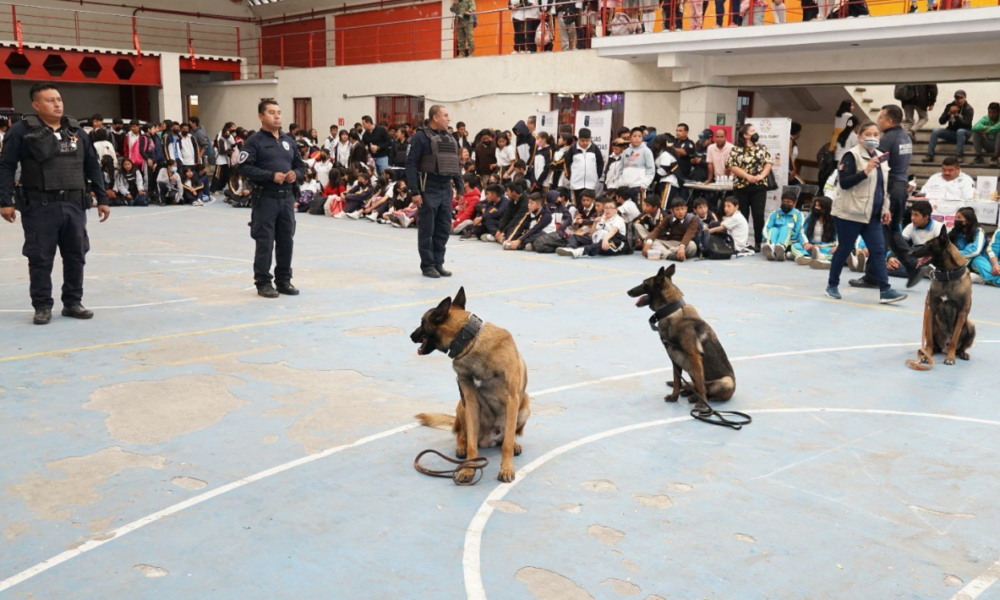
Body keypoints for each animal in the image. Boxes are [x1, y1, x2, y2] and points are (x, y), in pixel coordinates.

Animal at [410, 288, 532, 482]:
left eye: (422, 322)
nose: (411, 335)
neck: (471, 342)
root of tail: (489, 440)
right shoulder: (470, 401)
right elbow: (472, 446)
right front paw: (468, 469)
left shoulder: (512, 400)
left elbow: (506, 443)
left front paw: (506, 468)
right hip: (462, 405)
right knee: (462, 434)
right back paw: (461, 447)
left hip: (525, 406)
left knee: (506, 437)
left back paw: (514, 444)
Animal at [628, 266, 740, 412]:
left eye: (644, 284)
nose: (628, 291)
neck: (670, 311)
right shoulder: (674, 358)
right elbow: (677, 381)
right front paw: (674, 397)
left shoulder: (694, 356)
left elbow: (699, 383)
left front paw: (702, 404)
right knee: (692, 386)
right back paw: (689, 393)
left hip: (726, 382)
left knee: (705, 390)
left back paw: (697, 398)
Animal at [912, 226, 972, 370]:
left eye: (928, 244)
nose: (910, 252)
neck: (947, 274)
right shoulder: (931, 309)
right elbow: (929, 340)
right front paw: (927, 354)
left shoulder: (962, 313)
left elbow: (955, 339)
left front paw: (950, 357)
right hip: (929, 321)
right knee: (932, 343)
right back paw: (928, 352)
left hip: (970, 325)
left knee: (960, 347)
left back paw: (962, 353)